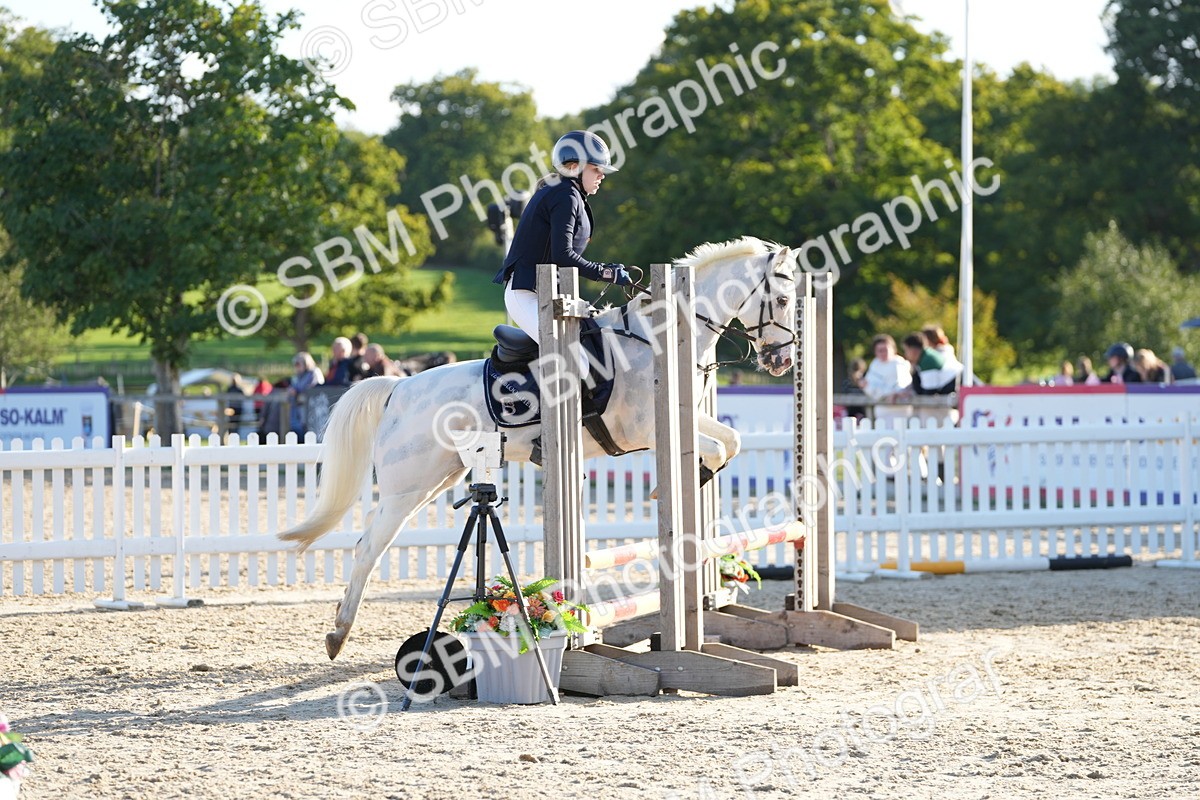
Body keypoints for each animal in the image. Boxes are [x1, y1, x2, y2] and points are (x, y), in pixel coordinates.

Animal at [279, 236, 800, 659]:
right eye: (780, 298)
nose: (781, 361)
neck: (659, 338)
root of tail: (398, 388)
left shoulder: (682, 417)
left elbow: (729, 440)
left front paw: (691, 480)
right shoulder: (645, 428)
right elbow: (717, 445)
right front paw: (671, 487)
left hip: (436, 479)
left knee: (372, 542)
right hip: (408, 486)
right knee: (369, 548)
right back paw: (338, 635)